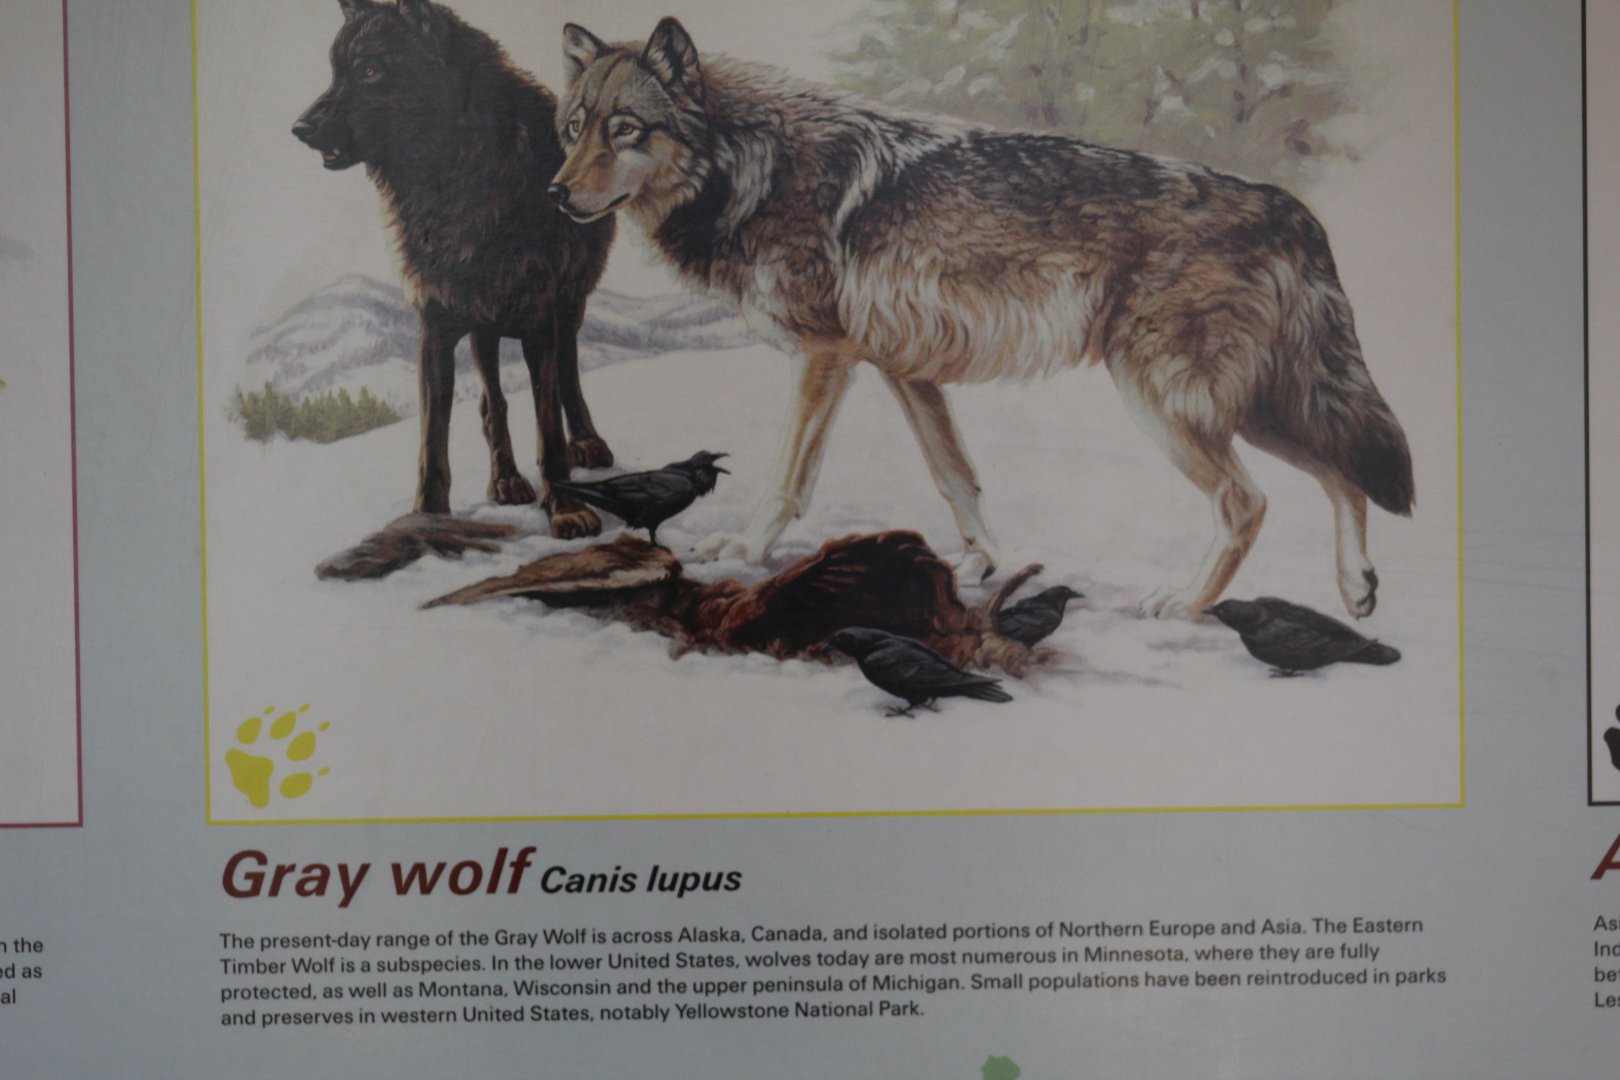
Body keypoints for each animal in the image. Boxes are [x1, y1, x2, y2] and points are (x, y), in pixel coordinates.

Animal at [293, 0, 614, 537]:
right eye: (335, 71)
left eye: (370, 71)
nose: (299, 129)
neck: (457, 174)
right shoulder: (435, 327)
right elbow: (432, 438)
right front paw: (427, 515)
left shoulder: (540, 322)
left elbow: (548, 427)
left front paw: (566, 507)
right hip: (484, 328)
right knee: (491, 403)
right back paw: (505, 479)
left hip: (568, 310)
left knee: (567, 375)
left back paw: (586, 443)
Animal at [549, 18, 1415, 619]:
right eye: (573, 127)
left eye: (624, 128)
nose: (554, 192)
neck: (747, 166)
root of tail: (1288, 207)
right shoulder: (901, 369)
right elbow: (957, 475)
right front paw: (987, 564)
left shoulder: (826, 356)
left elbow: (787, 476)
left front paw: (742, 549)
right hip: (1251, 403)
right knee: (1343, 471)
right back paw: (1358, 589)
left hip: (1175, 404)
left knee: (1251, 502)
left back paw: (1187, 604)